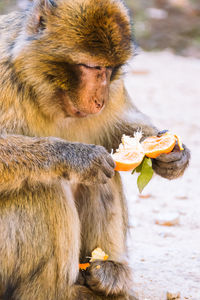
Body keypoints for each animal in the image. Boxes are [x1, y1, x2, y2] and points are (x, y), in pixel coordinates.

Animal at [0, 0, 190, 300]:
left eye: (110, 69)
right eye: (91, 66)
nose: (100, 99)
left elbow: (114, 129)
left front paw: (173, 156)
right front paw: (78, 157)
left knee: (103, 177)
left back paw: (109, 273)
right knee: (45, 188)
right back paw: (57, 291)